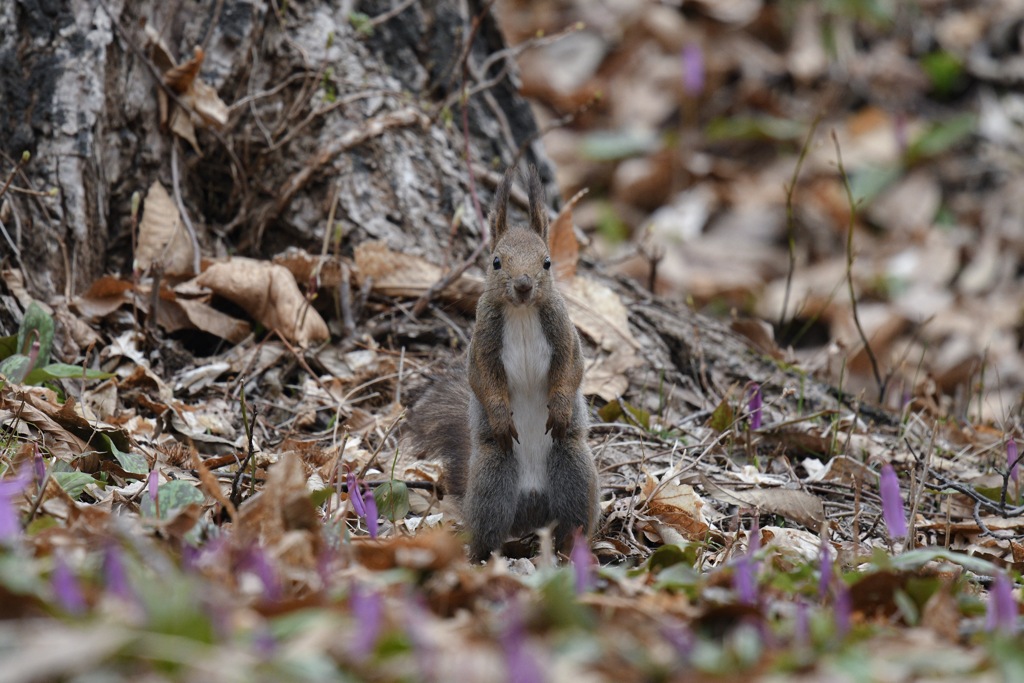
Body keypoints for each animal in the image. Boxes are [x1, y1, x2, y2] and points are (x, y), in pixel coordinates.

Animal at [405, 163, 598, 561]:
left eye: (547, 262)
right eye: (495, 261)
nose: (523, 285)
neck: (522, 313)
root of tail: (533, 510)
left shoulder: (565, 336)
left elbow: (571, 371)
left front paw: (559, 408)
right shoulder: (482, 344)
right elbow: (484, 381)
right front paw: (499, 416)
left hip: (574, 470)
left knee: (575, 522)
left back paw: (573, 551)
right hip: (492, 482)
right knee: (488, 531)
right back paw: (483, 557)